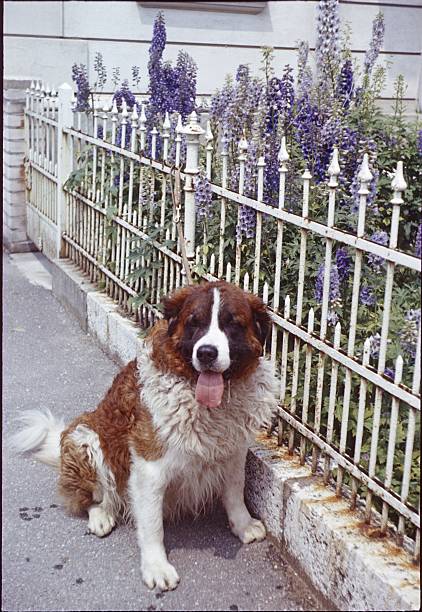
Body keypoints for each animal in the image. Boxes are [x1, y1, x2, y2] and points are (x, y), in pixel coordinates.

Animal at [9, 280, 278, 592]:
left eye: (232, 324)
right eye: (194, 323)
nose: (206, 353)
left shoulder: (234, 451)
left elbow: (235, 491)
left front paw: (243, 525)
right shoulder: (150, 469)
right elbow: (152, 525)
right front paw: (156, 566)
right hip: (85, 438)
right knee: (92, 496)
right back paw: (101, 515)